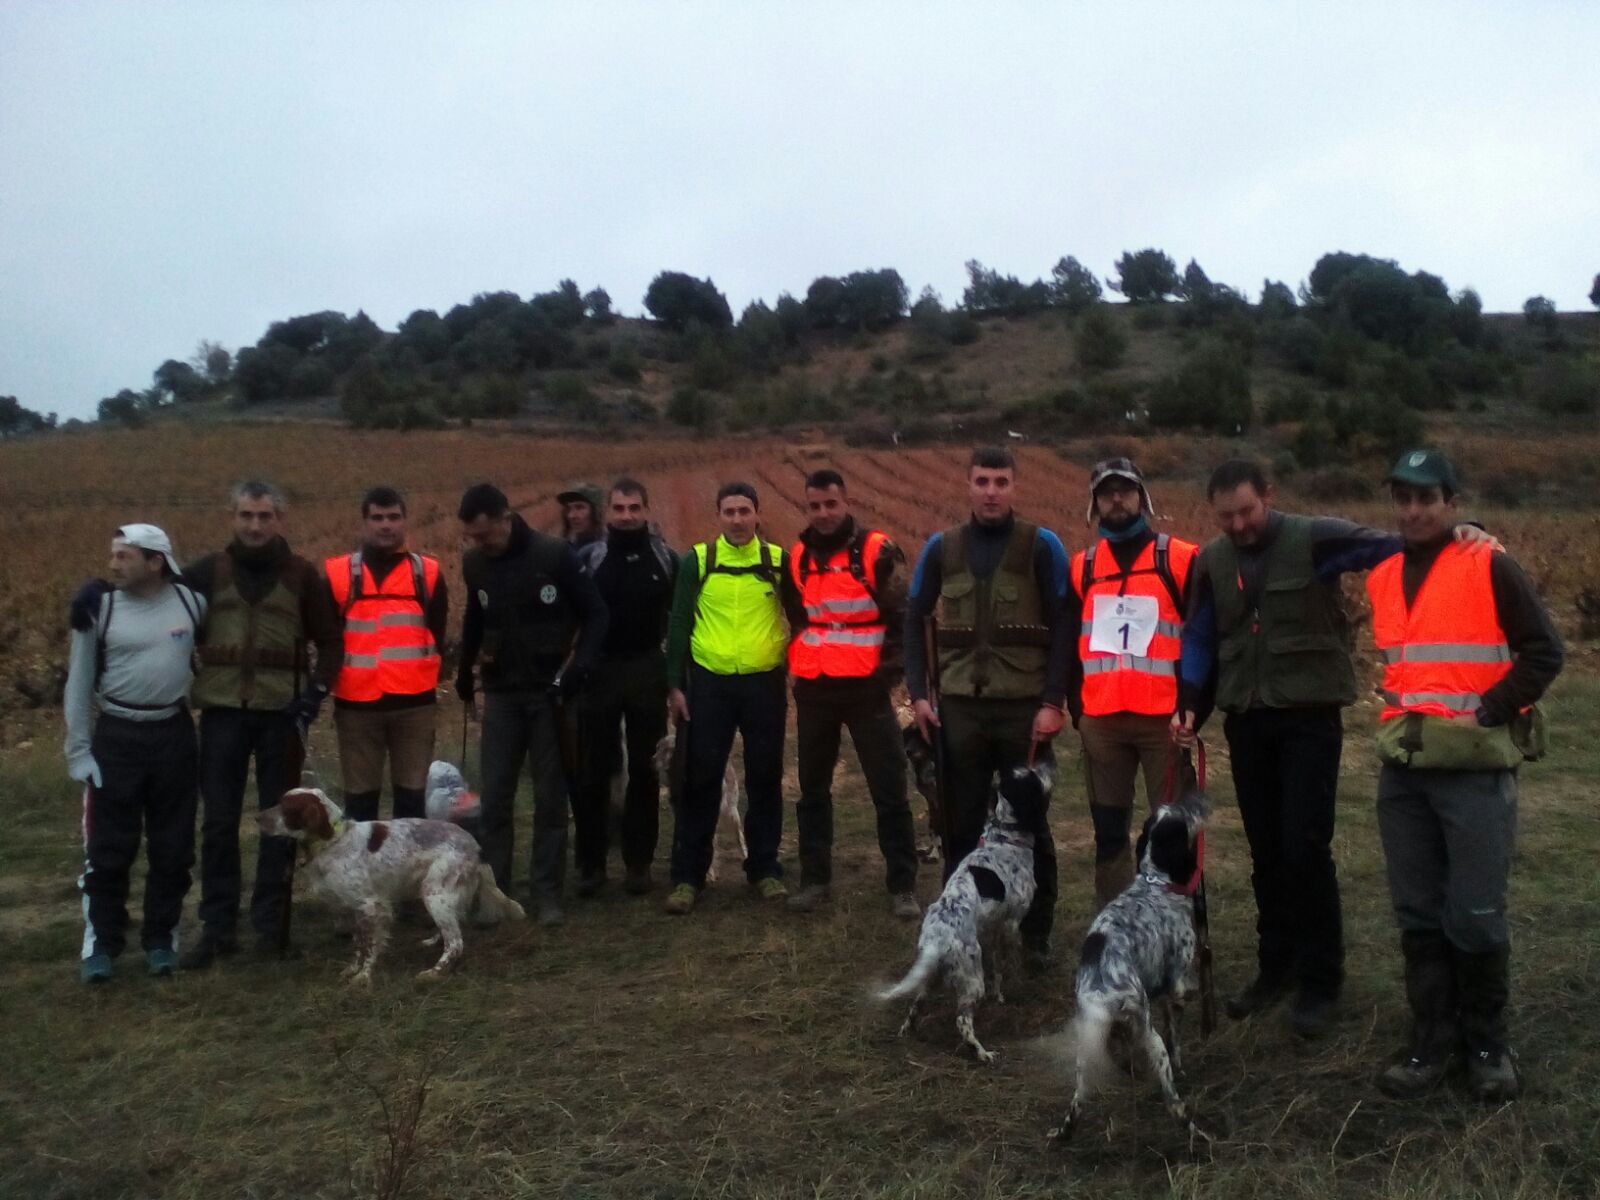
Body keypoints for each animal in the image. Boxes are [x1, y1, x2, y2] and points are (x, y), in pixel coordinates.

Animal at [260, 790, 524, 985]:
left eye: (286, 807)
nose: (258, 817)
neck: (334, 840)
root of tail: (475, 846)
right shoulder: (353, 908)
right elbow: (359, 945)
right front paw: (351, 970)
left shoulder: (370, 906)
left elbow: (368, 946)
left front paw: (363, 977)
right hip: (440, 895)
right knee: (453, 927)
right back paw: (432, 941)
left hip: (434, 892)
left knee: (456, 942)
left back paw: (434, 972)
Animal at [876, 764, 1049, 1068]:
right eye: (1032, 776)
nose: (1045, 764)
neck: (1004, 839)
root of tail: (936, 940)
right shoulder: (1011, 924)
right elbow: (1012, 964)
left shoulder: (992, 931)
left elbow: (998, 969)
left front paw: (999, 994)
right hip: (971, 981)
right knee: (962, 1022)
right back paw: (981, 1052)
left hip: (931, 978)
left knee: (915, 1006)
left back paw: (907, 1032)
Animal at [1049, 793, 1209, 1152]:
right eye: (1183, 817)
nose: (1198, 800)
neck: (1154, 881)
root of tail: (1101, 993)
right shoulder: (1178, 983)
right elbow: (1179, 1013)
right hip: (1150, 1039)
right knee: (1174, 1104)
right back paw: (1198, 1135)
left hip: (1086, 1053)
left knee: (1076, 1104)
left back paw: (1062, 1134)